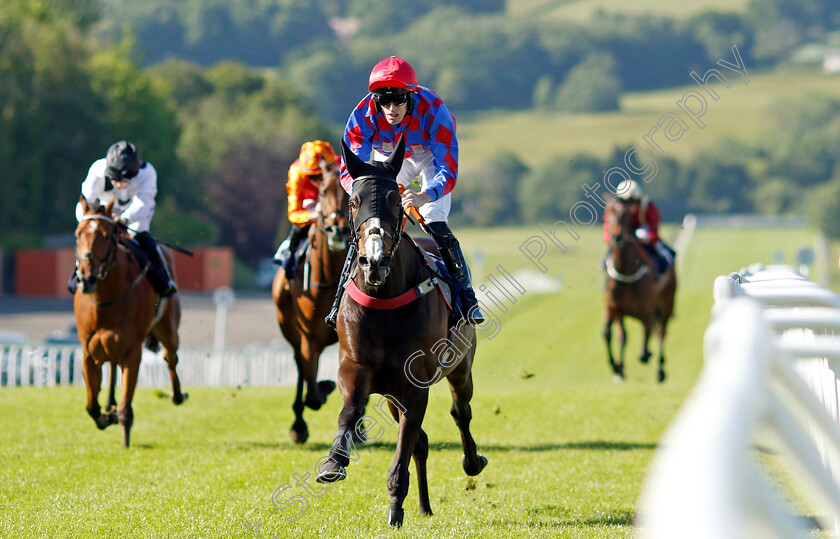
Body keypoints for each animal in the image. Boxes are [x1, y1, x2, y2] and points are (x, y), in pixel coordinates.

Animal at [74, 195, 187, 448]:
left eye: (106, 235)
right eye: (78, 234)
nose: (87, 278)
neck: (106, 299)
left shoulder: (132, 351)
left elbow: (126, 404)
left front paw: (124, 435)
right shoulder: (88, 352)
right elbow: (90, 405)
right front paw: (106, 416)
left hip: (168, 328)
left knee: (171, 358)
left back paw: (177, 395)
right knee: (112, 368)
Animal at [270, 168, 348, 442]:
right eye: (323, 192)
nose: (338, 230)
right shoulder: (308, 336)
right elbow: (312, 393)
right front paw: (325, 387)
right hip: (289, 327)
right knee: (300, 367)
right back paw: (299, 424)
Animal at [314, 138, 486, 528]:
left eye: (395, 200)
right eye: (354, 201)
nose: (374, 261)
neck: (383, 300)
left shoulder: (415, 385)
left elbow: (404, 449)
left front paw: (394, 508)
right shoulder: (355, 368)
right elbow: (350, 412)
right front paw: (334, 461)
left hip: (461, 368)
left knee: (461, 412)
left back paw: (472, 461)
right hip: (392, 395)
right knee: (422, 441)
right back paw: (423, 505)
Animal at [604, 197, 676, 384]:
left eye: (626, 215)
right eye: (608, 214)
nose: (616, 236)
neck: (627, 271)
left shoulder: (648, 311)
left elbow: (644, 347)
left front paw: (647, 354)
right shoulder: (617, 309)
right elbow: (620, 336)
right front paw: (619, 369)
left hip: (667, 302)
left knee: (661, 332)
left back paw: (660, 370)